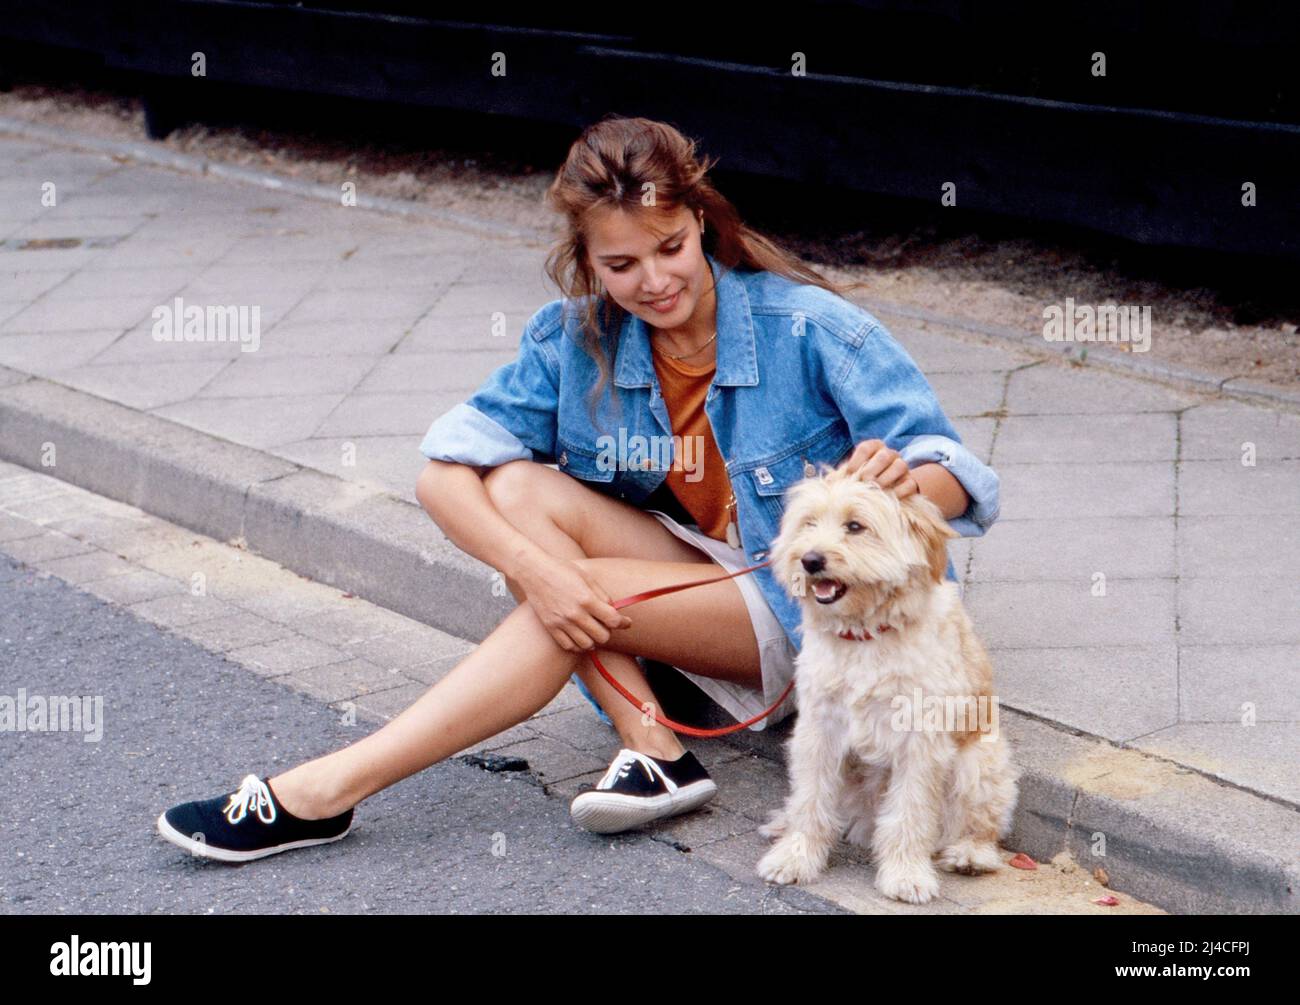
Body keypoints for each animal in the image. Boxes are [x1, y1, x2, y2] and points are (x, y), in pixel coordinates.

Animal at [759, 462, 1019, 899]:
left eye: (855, 526)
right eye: (808, 523)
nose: (810, 560)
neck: (866, 633)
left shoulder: (920, 740)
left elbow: (910, 813)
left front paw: (906, 874)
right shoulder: (818, 730)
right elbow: (810, 799)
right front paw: (795, 856)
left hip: (979, 764)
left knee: (979, 825)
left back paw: (970, 854)